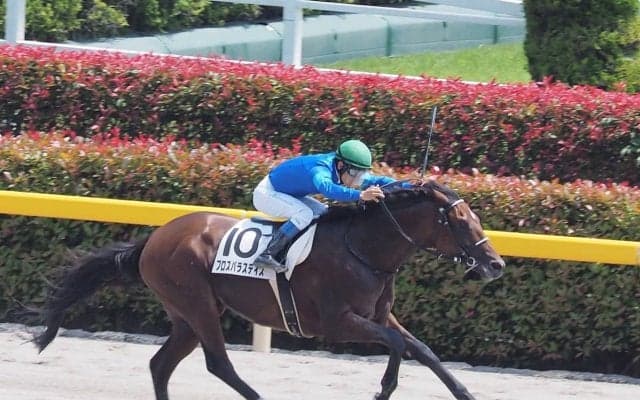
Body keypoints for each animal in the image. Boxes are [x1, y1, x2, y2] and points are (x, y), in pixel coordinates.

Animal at [33, 180, 504, 400]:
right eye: (459, 221)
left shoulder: (377, 314)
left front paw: (464, 392)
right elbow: (397, 345)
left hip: (185, 314)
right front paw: (384, 388)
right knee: (217, 364)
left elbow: (421, 349)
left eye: (475, 217)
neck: (363, 248)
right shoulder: (336, 322)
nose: (496, 264)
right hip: (198, 304)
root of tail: (153, 239)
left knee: (160, 365)